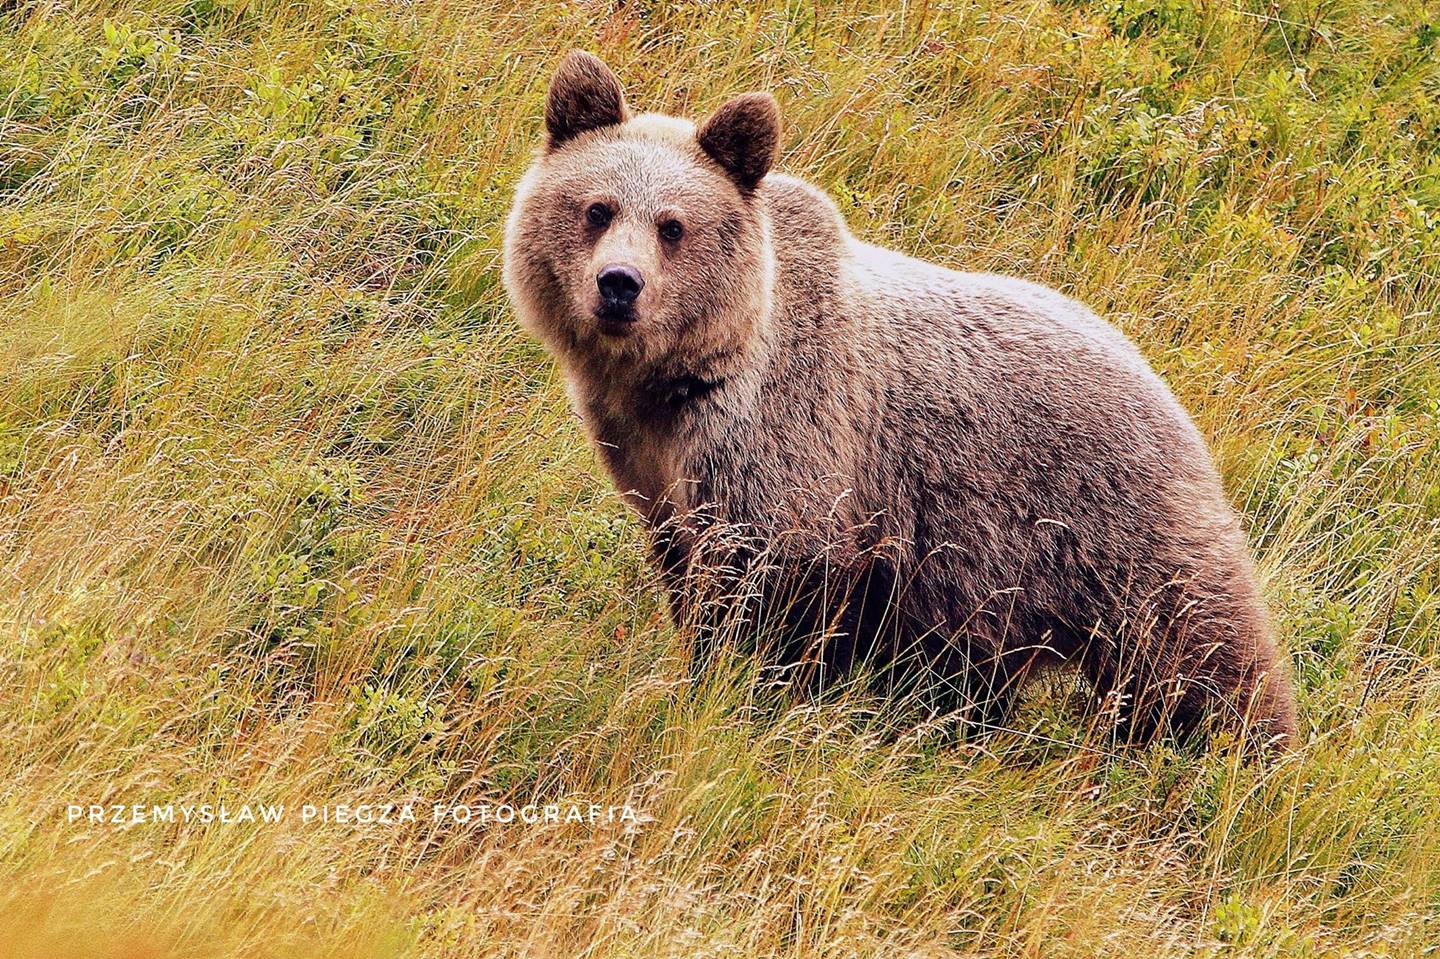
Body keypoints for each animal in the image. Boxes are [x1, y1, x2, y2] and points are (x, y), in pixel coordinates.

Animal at [501, 50, 1301, 748]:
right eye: (597, 208)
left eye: (673, 225)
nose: (619, 285)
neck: (682, 381)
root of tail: (1162, 380)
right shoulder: (656, 469)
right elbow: (685, 567)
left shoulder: (794, 441)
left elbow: (773, 586)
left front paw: (743, 686)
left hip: (1106, 523)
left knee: (1195, 653)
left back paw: (1235, 758)